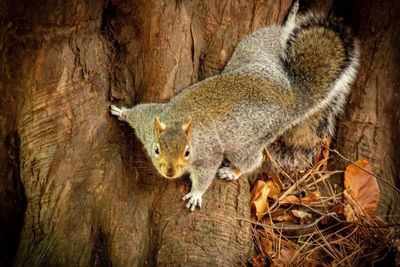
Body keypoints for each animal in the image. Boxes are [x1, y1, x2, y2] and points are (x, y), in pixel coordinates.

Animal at [108, 1, 360, 211]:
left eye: (188, 152)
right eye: (156, 149)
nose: (170, 172)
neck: (180, 120)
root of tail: (291, 95)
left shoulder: (208, 154)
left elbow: (205, 175)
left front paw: (196, 195)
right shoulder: (150, 120)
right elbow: (138, 112)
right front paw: (121, 111)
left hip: (247, 141)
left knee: (253, 160)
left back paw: (233, 171)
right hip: (255, 49)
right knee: (277, 36)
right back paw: (289, 22)